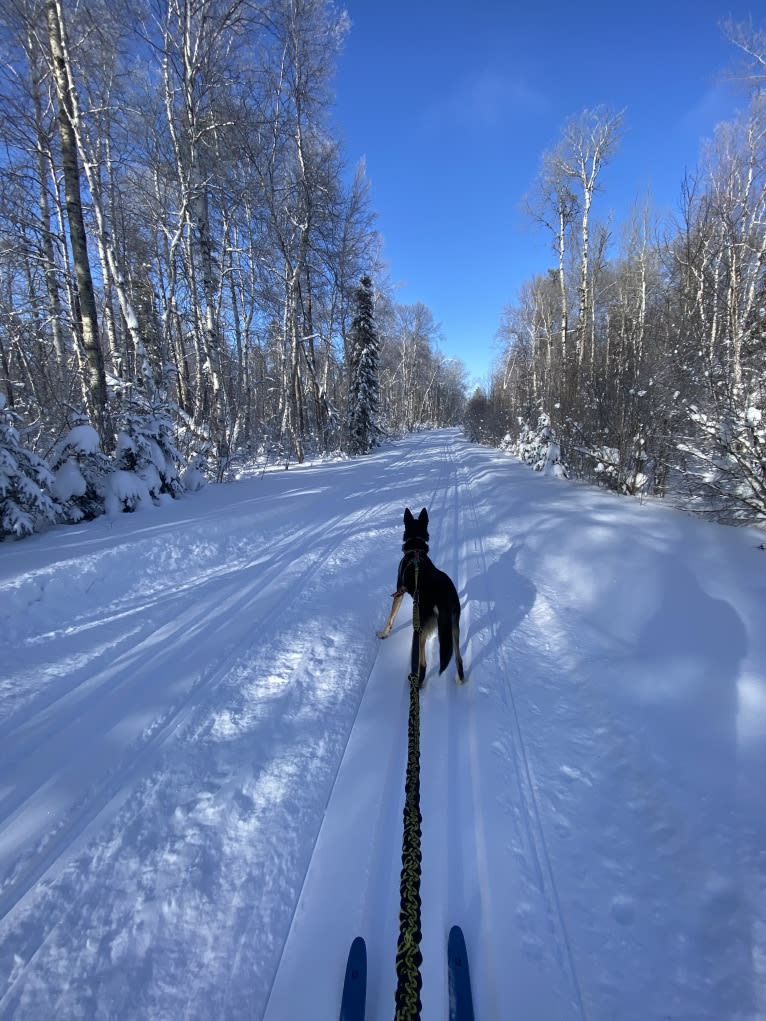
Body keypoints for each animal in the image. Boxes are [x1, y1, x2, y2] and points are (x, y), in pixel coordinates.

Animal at [375, 508, 465, 686]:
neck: (415, 549)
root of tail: (444, 597)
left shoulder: (399, 592)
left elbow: (390, 618)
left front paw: (384, 634)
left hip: (421, 625)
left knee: (423, 662)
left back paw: (418, 681)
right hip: (454, 626)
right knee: (458, 658)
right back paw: (460, 678)